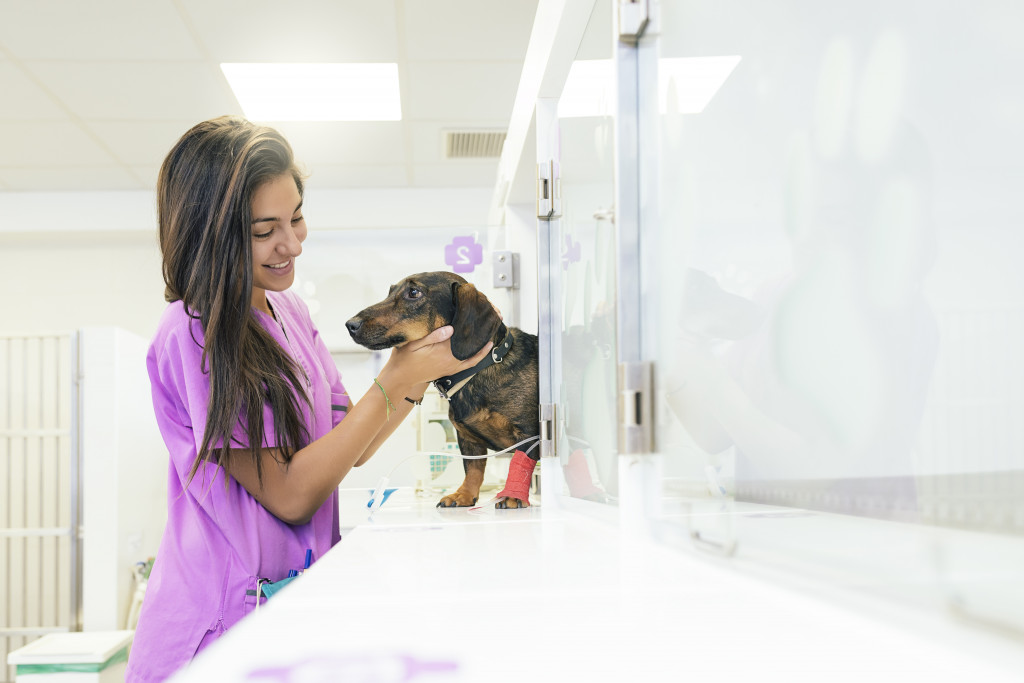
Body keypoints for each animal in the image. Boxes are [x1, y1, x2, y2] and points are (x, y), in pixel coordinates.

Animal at [344, 270, 540, 507]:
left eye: (414, 292)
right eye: (390, 291)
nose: (350, 325)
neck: (480, 370)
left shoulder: (527, 434)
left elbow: (520, 463)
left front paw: (513, 495)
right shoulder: (467, 440)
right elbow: (473, 469)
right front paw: (464, 495)